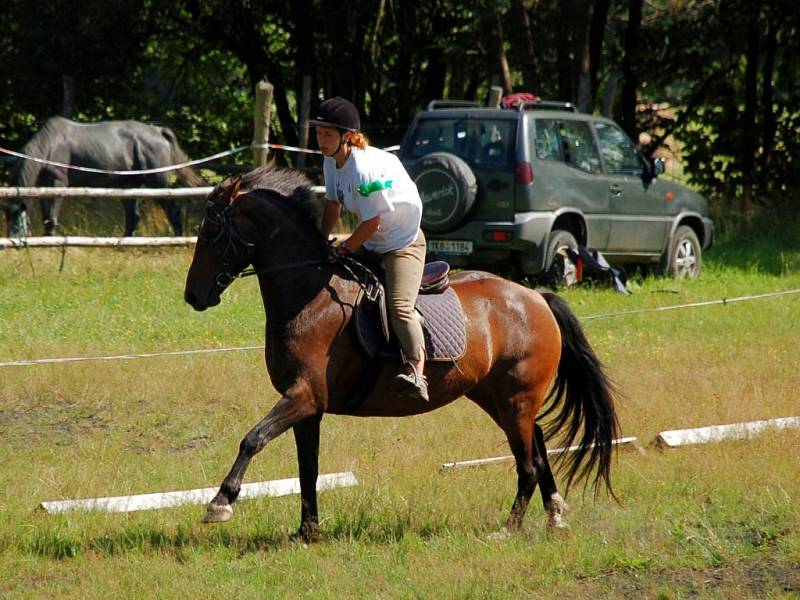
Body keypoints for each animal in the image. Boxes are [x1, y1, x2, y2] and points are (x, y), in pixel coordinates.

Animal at [9, 117, 205, 237]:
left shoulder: (59, 183)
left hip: (157, 182)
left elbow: (51, 217)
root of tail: (158, 132)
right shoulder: (44, 184)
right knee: (133, 216)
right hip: (129, 185)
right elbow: (46, 216)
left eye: (18, 218)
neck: (51, 144)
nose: (13, 243)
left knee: (172, 211)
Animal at [183, 165, 620, 544]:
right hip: (494, 396)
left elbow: (253, 439)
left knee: (527, 463)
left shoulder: (304, 396)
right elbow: (308, 468)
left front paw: (221, 502)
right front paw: (308, 532)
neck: (308, 294)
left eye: (212, 231)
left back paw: (509, 529)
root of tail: (536, 297)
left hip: (516, 398)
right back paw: (555, 513)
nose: (193, 297)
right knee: (539, 443)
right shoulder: (308, 407)